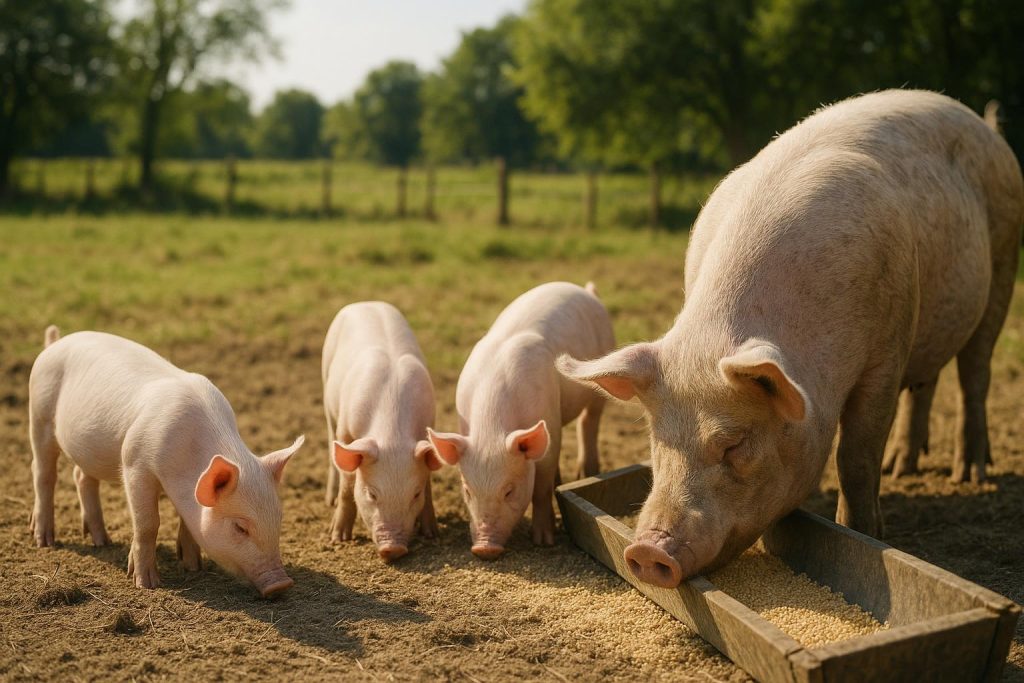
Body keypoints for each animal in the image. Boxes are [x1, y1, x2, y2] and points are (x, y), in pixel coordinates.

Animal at [28, 327, 304, 597]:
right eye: (239, 528)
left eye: (279, 518)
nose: (281, 584)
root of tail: (56, 342)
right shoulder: (135, 463)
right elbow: (148, 523)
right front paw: (146, 584)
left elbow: (188, 522)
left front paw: (193, 567)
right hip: (39, 414)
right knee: (43, 473)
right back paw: (44, 540)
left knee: (81, 476)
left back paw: (101, 541)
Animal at [321, 302, 441, 561]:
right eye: (372, 494)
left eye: (415, 494)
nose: (393, 548)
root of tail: (366, 302)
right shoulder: (346, 432)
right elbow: (348, 485)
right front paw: (338, 538)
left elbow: (428, 479)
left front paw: (432, 534)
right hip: (326, 385)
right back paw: (329, 501)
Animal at [428, 281, 615, 558]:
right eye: (467, 490)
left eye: (509, 491)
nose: (484, 548)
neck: (492, 427)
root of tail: (586, 291)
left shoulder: (550, 431)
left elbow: (541, 488)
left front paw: (543, 541)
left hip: (599, 380)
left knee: (589, 421)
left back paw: (587, 472)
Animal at [558, 90, 1023, 588]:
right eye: (655, 438)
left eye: (735, 444)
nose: (647, 550)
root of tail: (983, 125)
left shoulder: (886, 351)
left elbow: (856, 457)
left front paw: (862, 533)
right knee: (927, 382)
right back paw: (904, 466)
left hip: (1003, 262)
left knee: (975, 374)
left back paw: (968, 475)